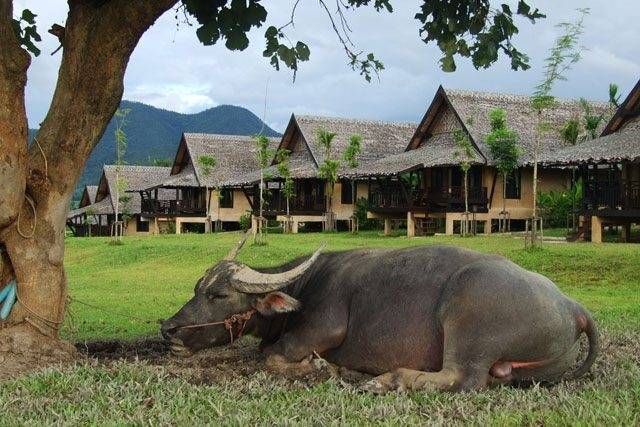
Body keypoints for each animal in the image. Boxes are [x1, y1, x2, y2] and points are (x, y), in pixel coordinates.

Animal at [161, 236, 598, 392]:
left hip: (466, 319)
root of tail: (573, 307)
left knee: (464, 379)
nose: (169, 329)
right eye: (196, 287)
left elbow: (271, 355)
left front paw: (323, 368)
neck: (305, 286)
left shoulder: (321, 328)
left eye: (219, 294)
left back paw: (383, 380)